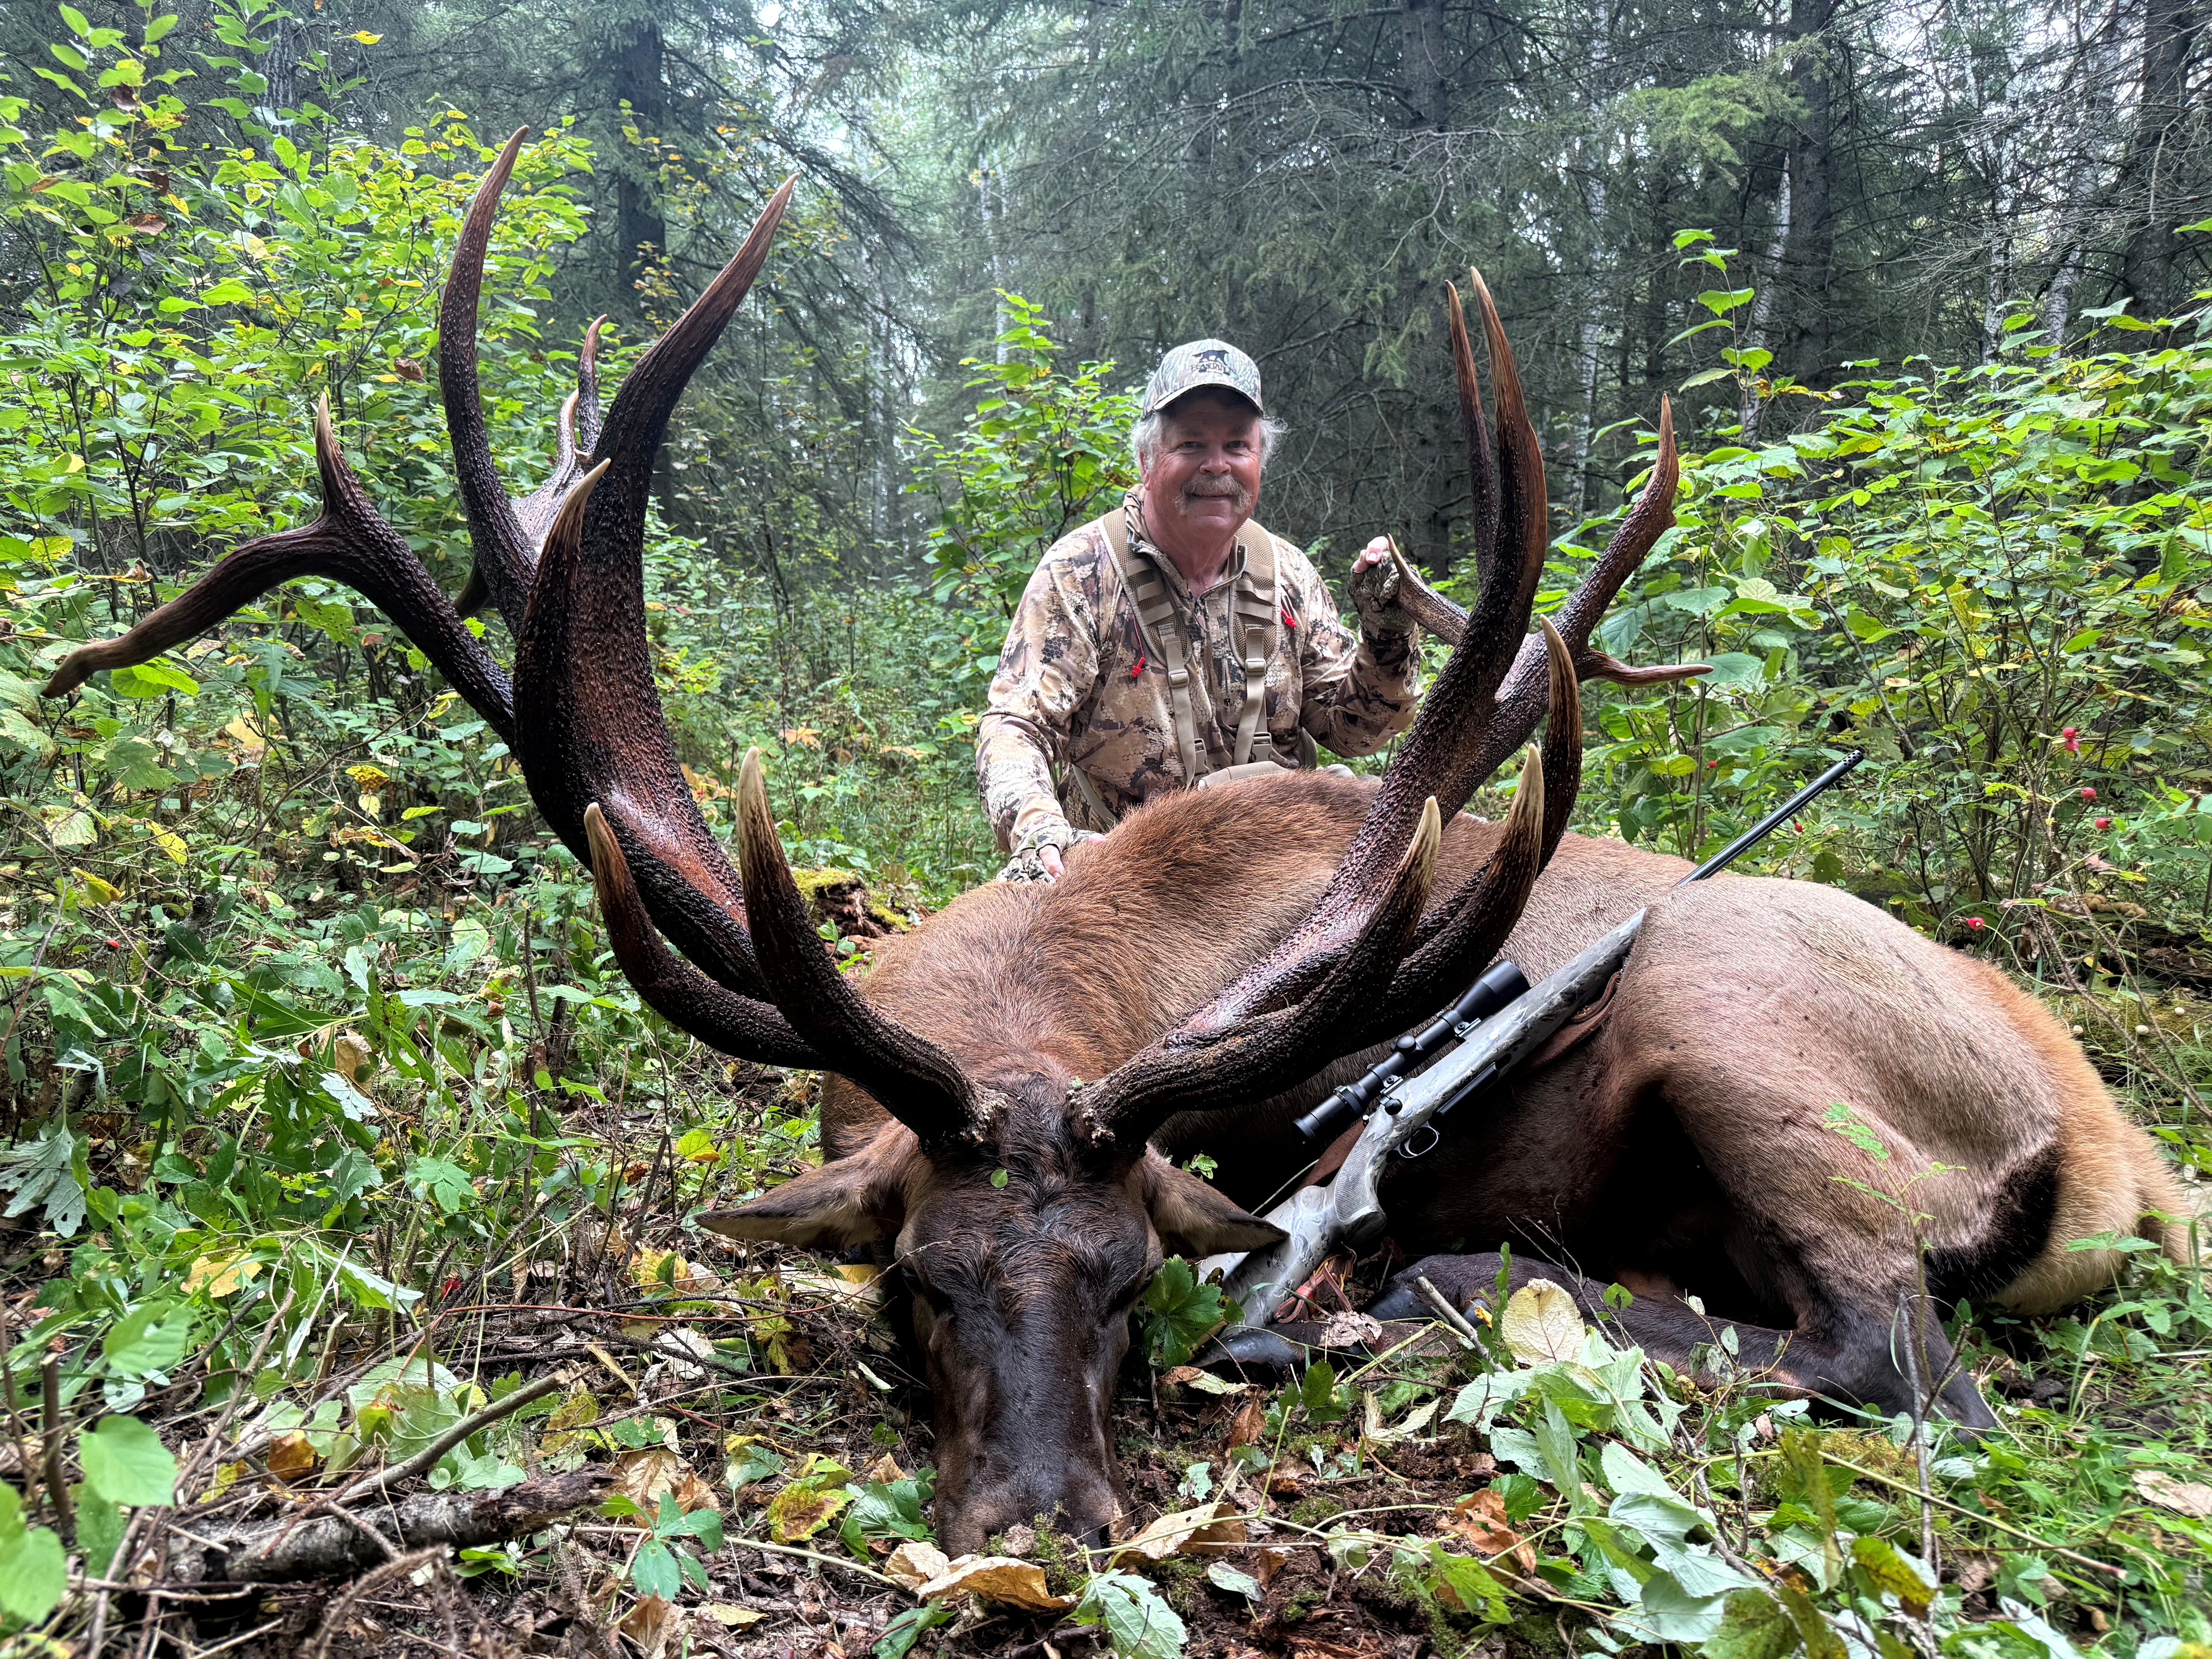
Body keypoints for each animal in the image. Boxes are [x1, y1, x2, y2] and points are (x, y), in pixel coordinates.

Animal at [42, 133, 2193, 1557]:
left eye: (1126, 1282)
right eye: (916, 1283)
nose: (1038, 1520)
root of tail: (2121, 1157)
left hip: (1734, 1026)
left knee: (1894, 1351)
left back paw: (1447, 1295)